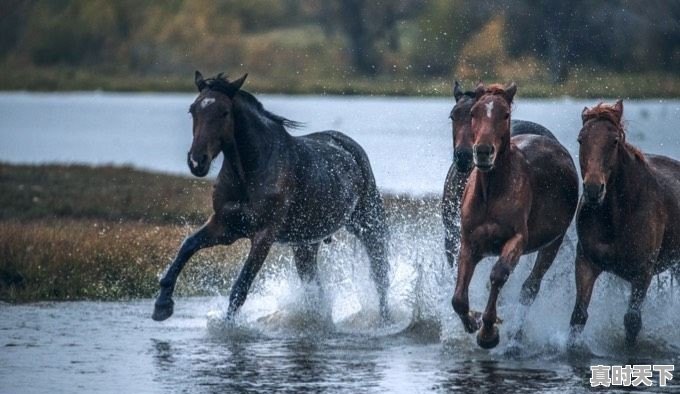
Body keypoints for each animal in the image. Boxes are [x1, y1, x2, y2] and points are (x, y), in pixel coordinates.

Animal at [152, 72, 390, 322]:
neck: (248, 173)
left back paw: (384, 321)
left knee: (380, 276)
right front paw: (162, 305)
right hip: (306, 244)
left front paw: (228, 325)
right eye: (193, 110)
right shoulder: (225, 226)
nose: (197, 161)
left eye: (224, 112)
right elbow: (187, 247)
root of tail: (349, 145)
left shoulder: (264, 235)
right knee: (316, 287)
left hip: (367, 225)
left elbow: (240, 287)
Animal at [452, 82, 580, 348]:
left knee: (530, 287)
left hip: (553, 242)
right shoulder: (469, 242)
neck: (491, 192)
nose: (482, 151)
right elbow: (458, 298)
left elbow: (498, 275)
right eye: (474, 113)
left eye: (506, 115)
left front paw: (488, 332)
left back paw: (516, 335)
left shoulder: (517, 240)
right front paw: (473, 321)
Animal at [564, 101, 680, 344]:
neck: (617, 217)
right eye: (581, 139)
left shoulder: (643, 272)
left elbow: (632, 321)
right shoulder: (586, 261)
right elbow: (579, 315)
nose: (593, 189)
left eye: (614, 141)